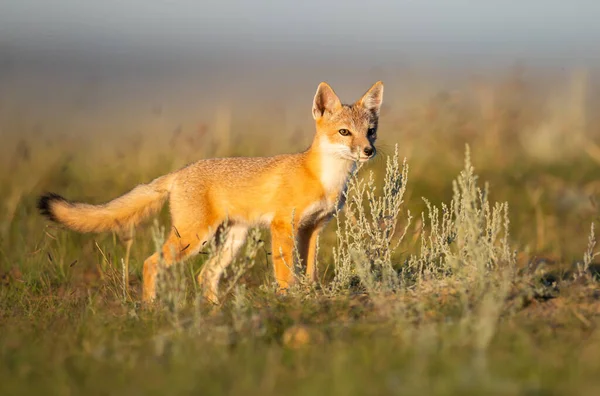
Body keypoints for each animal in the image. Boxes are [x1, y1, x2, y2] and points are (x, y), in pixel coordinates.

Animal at [38, 81, 384, 304]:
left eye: (370, 132)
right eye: (344, 132)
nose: (369, 151)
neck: (325, 178)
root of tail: (180, 172)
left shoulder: (312, 229)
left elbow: (308, 272)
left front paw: (309, 296)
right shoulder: (283, 226)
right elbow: (285, 274)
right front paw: (289, 302)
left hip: (230, 240)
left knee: (206, 274)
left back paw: (214, 314)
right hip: (193, 238)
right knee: (151, 263)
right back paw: (150, 312)